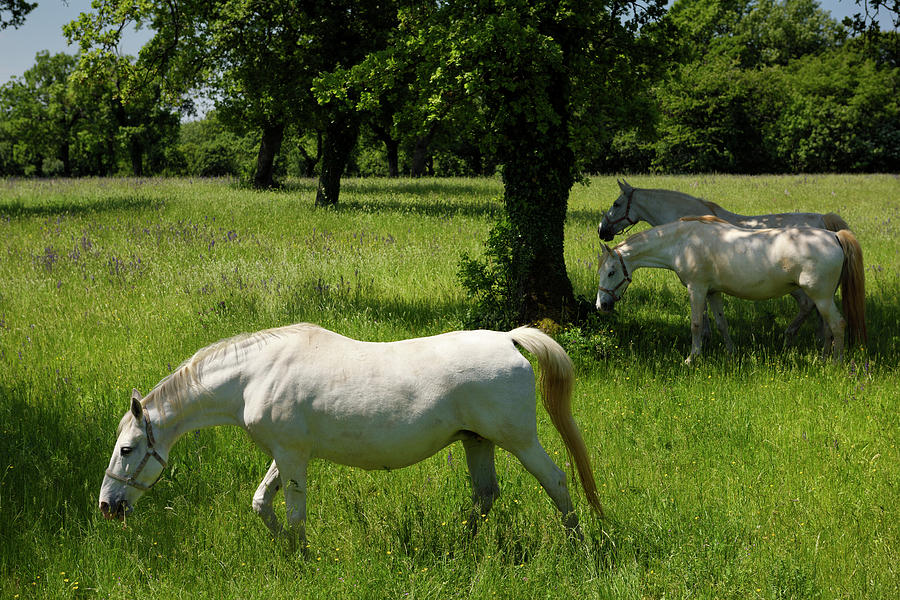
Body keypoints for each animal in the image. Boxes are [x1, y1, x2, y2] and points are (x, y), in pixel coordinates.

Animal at [100, 324, 604, 548]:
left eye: (127, 449)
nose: (108, 506)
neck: (255, 374)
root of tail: (508, 337)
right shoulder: (284, 454)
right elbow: (262, 503)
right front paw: (286, 548)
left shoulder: (293, 457)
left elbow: (295, 513)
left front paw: (301, 557)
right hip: (476, 442)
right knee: (485, 495)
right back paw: (464, 546)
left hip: (520, 442)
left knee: (557, 482)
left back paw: (582, 546)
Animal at [596, 218, 868, 364]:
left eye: (611, 272)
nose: (601, 306)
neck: (683, 242)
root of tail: (834, 236)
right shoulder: (713, 292)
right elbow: (721, 323)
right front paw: (731, 352)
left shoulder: (697, 289)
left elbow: (696, 324)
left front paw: (692, 358)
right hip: (823, 297)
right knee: (828, 327)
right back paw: (822, 358)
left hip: (821, 297)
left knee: (838, 324)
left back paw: (835, 363)